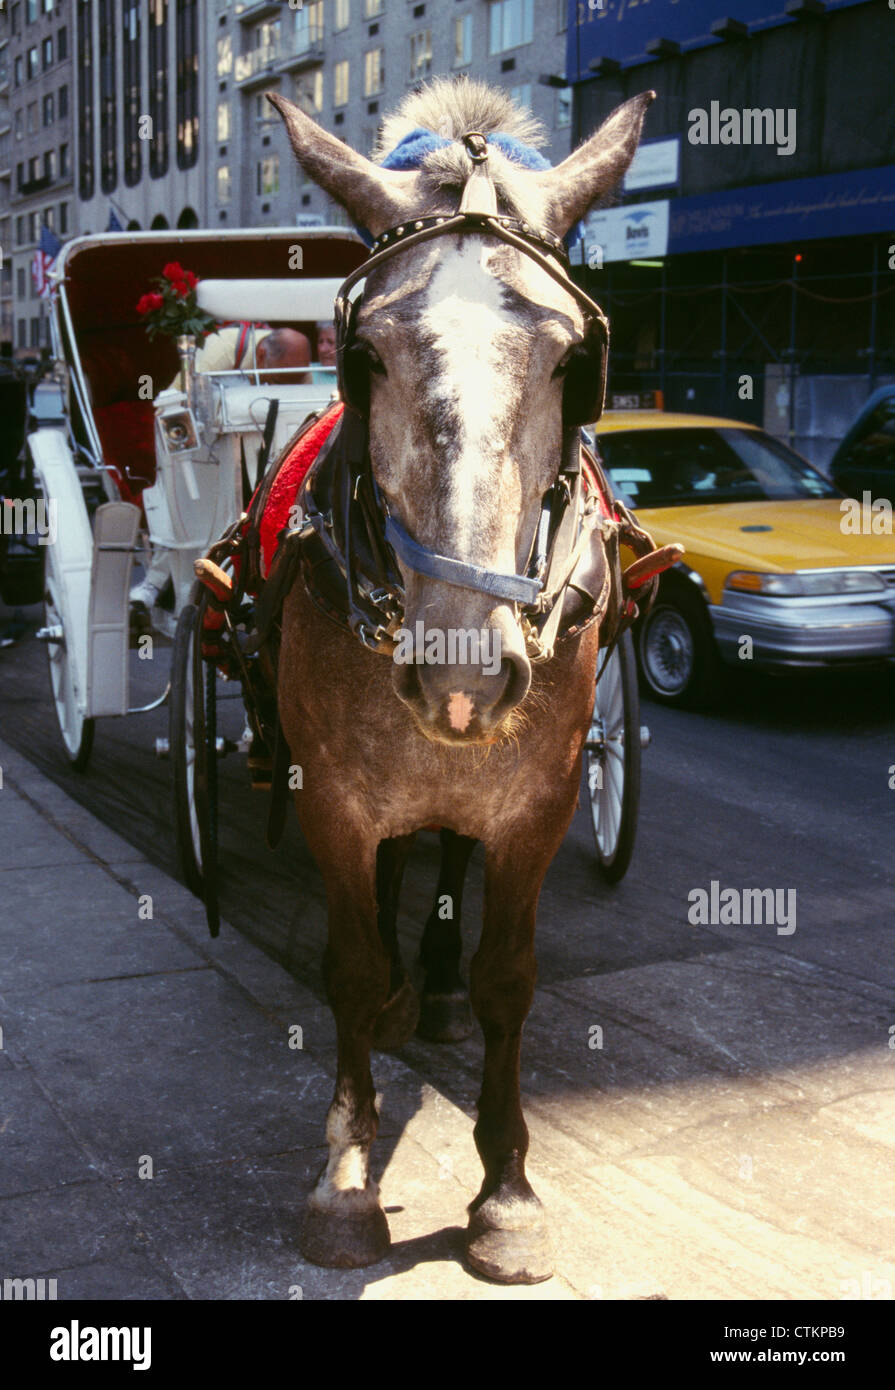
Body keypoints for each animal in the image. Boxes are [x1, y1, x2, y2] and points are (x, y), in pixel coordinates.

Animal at [264, 81, 650, 1284]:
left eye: (572, 361)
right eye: (368, 357)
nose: (461, 666)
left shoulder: (537, 803)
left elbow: (506, 979)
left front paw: (506, 1191)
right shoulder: (335, 799)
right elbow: (345, 966)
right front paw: (346, 1177)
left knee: (441, 859)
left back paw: (426, 983)